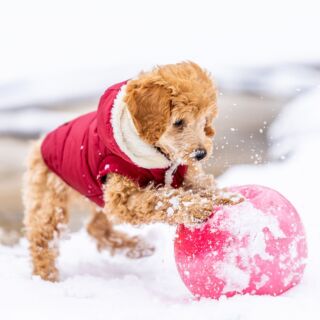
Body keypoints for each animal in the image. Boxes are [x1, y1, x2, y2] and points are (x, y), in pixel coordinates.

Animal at [23, 61, 240, 282]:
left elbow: (203, 185)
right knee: (42, 238)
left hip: (96, 195)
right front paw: (195, 207)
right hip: (50, 199)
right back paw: (46, 277)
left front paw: (228, 197)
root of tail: (40, 143)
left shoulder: (185, 174)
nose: (201, 154)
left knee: (96, 227)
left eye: (204, 121)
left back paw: (135, 247)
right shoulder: (123, 196)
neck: (159, 155)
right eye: (178, 122)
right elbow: (161, 199)